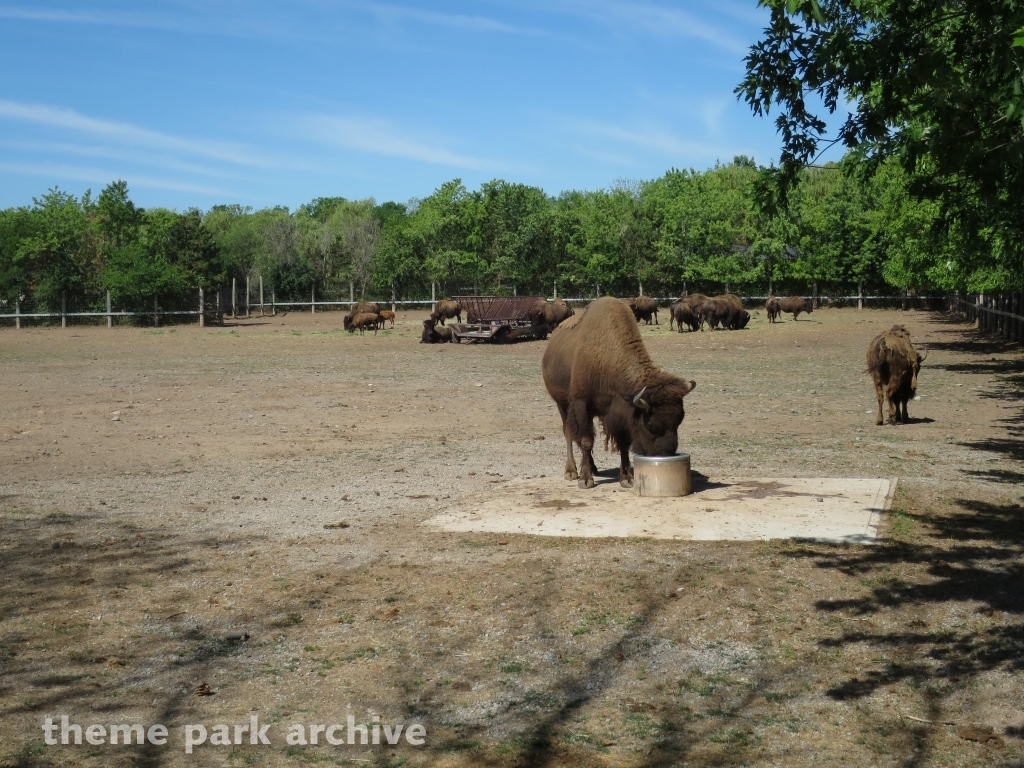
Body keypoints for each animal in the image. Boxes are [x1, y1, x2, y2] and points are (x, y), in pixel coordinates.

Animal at [540, 296, 700, 489]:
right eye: (650, 424)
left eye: (679, 420)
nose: (666, 453)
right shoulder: (581, 404)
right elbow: (586, 441)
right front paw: (585, 479)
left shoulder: (619, 413)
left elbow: (622, 443)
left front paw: (626, 478)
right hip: (562, 404)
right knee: (569, 434)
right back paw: (571, 471)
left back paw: (594, 468)